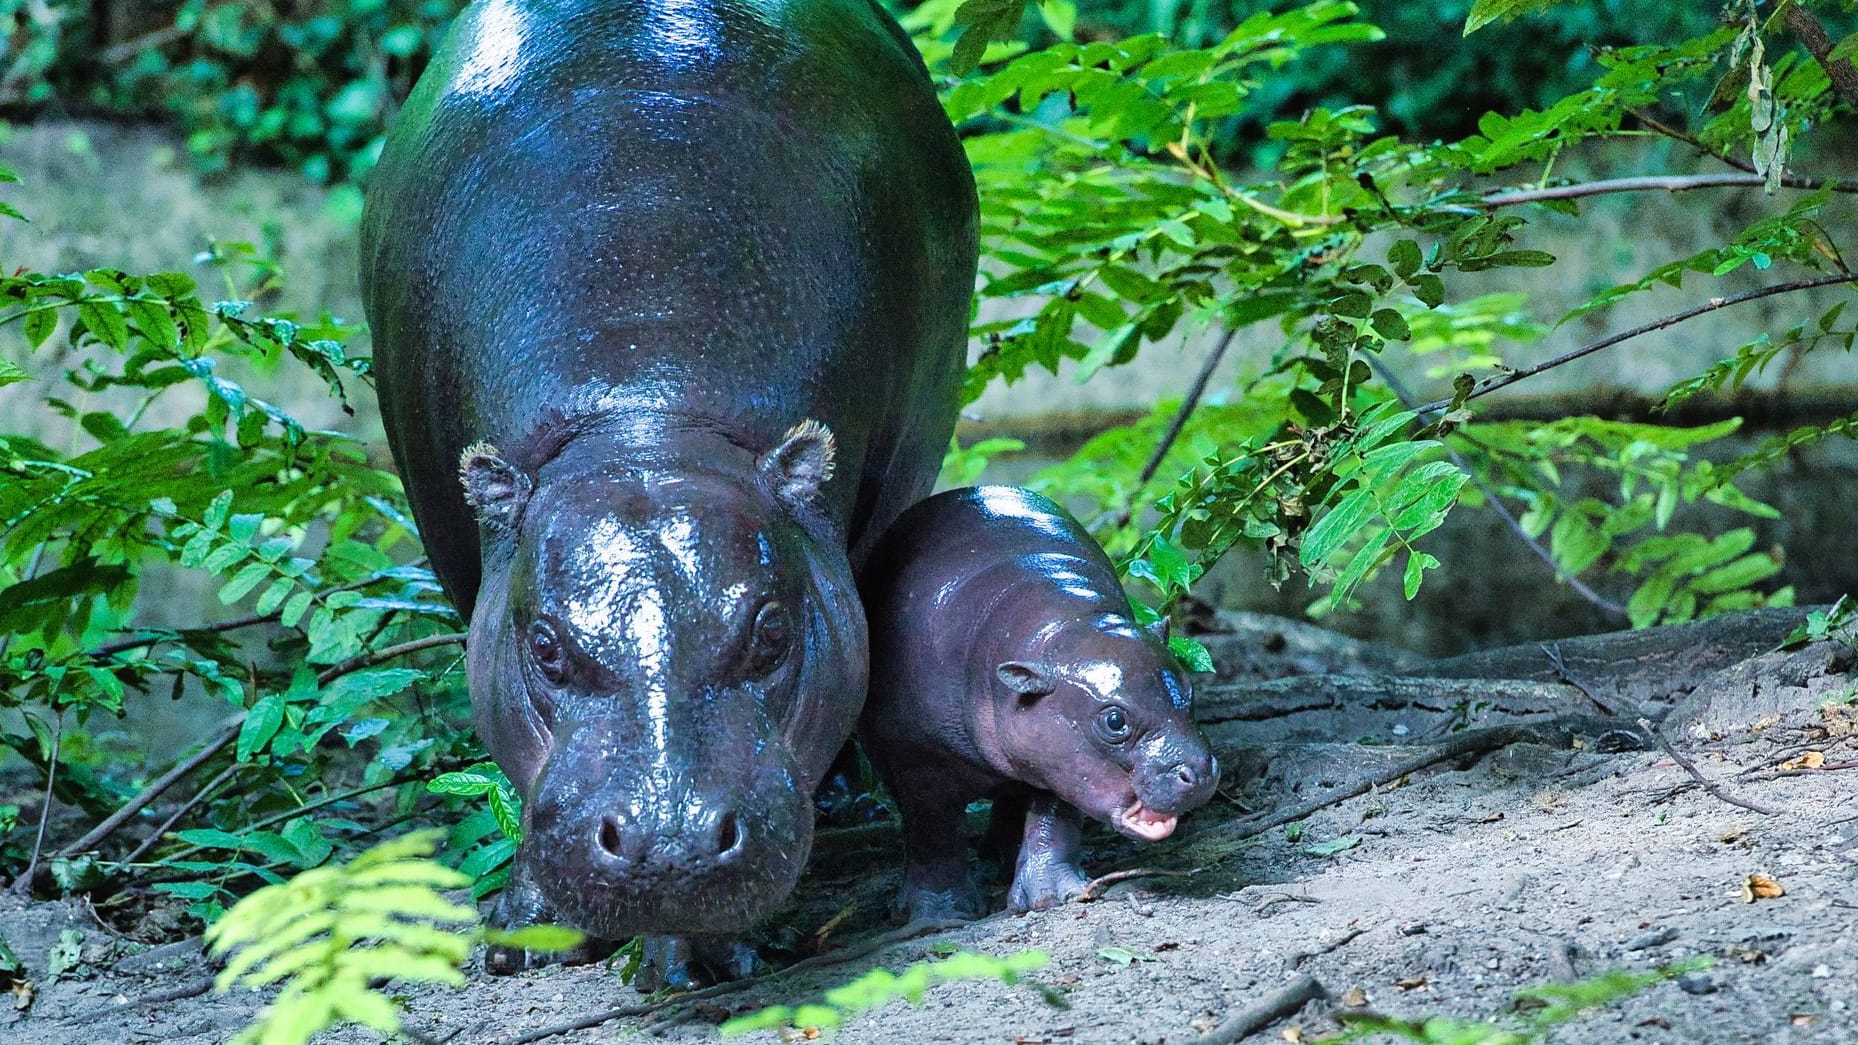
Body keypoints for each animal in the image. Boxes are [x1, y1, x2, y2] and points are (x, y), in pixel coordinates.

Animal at [354, 0, 981, 981]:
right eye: (545, 647)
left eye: (772, 630)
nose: (670, 843)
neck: (645, 412)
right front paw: (525, 935)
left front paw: (708, 956)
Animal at [858, 483, 1218, 914]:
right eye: (1115, 721)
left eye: (1189, 691)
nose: (1201, 771)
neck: (1061, 629)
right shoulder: (918, 757)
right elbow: (933, 830)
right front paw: (941, 913)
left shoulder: (1058, 756)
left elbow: (1053, 815)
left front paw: (1051, 897)